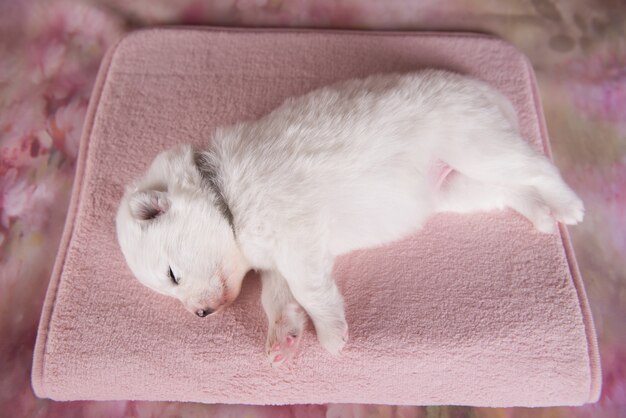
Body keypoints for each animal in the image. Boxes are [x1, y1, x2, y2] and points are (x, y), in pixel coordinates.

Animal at [114, 70, 584, 368]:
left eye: (172, 274)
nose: (200, 315)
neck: (225, 196)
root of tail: (487, 93)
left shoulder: (296, 239)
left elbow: (308, 289)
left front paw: (331, 335)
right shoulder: (275, 262)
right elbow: (278, 299)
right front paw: (284, 341)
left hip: (475, 142)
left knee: (540, 167)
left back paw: (568, 206)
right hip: (458, 186)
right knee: (511, 188)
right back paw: (543, 215)